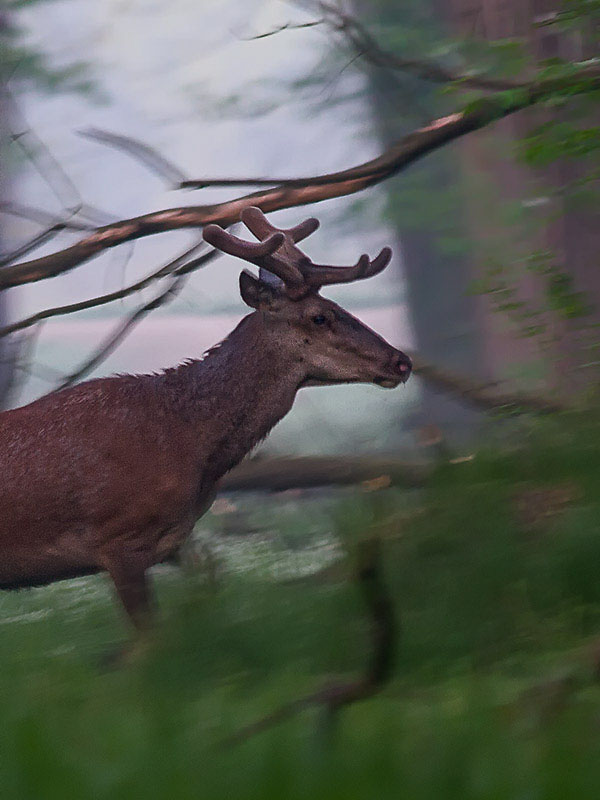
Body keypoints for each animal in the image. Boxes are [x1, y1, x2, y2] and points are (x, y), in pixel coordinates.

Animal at [0, 208, 412, 644]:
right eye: (320, 316)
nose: (401, 361)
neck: (186, 440)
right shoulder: (115, 538)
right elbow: (150, 639)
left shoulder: (174, 542)